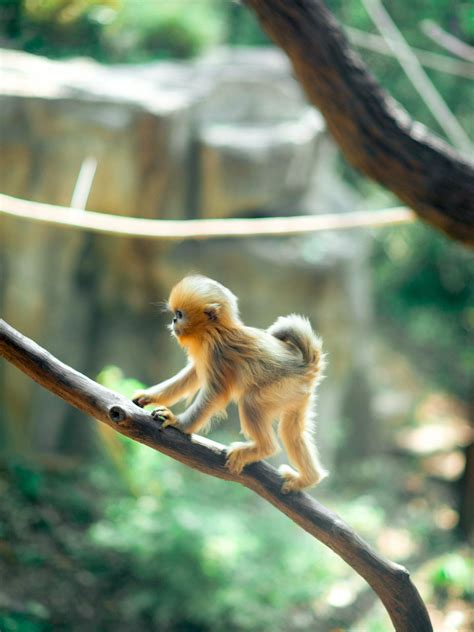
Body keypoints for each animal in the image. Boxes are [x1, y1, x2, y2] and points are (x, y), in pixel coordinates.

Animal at [131, 276, 328, 494]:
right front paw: (148, 396)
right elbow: (192, 376)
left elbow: (215, 393)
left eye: (179, 315)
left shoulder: (216, 353)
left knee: (251, 403)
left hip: (282, 386)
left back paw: (263, 448)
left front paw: (179, 423)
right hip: (297, 394)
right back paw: (308, 478)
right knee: (291, 431)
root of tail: (305, 365)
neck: (215, 331)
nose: (173, 321)